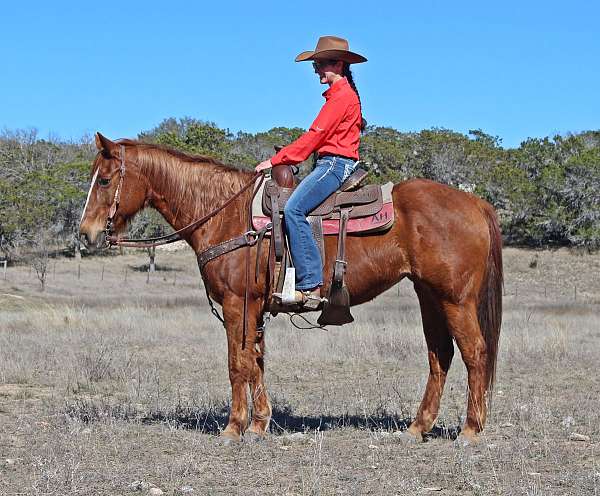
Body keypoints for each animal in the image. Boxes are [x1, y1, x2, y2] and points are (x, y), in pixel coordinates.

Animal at [78, 133, 502, 446]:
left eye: (104, 179)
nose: (86, 233)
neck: (226, 213)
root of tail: (475, 202)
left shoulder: (237, 305)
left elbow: (238, 364)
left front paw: (233, 427)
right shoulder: (255, 309)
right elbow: (257, 363)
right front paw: (259, 424)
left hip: (455, 299)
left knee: (475, 353)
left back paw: (470, 430)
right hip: (429, 296)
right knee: (440, 356)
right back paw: (417, 428)